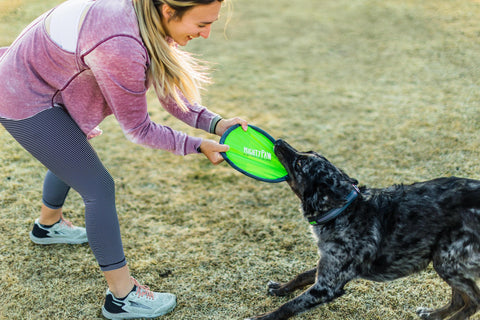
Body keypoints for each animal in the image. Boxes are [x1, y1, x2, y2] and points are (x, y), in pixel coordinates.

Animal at [246, 140, 480, 320]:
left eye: (300, 162)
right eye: (308, 152)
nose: (278, 141)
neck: (344, 210)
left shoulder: (326, 287)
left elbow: (289, 307)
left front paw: (261, 317)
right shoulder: (328, 266)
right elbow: (301, 275)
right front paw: (280, 288)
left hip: (447, 261)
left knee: (472, 302)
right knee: (459, 300)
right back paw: (432, 314)